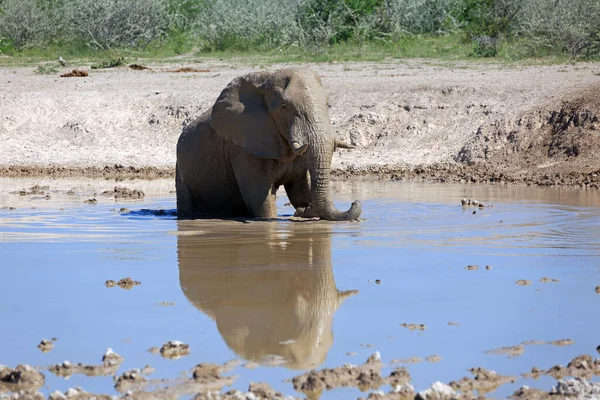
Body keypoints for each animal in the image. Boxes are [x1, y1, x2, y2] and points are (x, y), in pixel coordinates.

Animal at [173, 67, 360, 220]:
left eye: (327, 104)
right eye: (284, 107)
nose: (354, 202)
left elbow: (298, 189)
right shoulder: (242, 149)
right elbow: (261, 201)